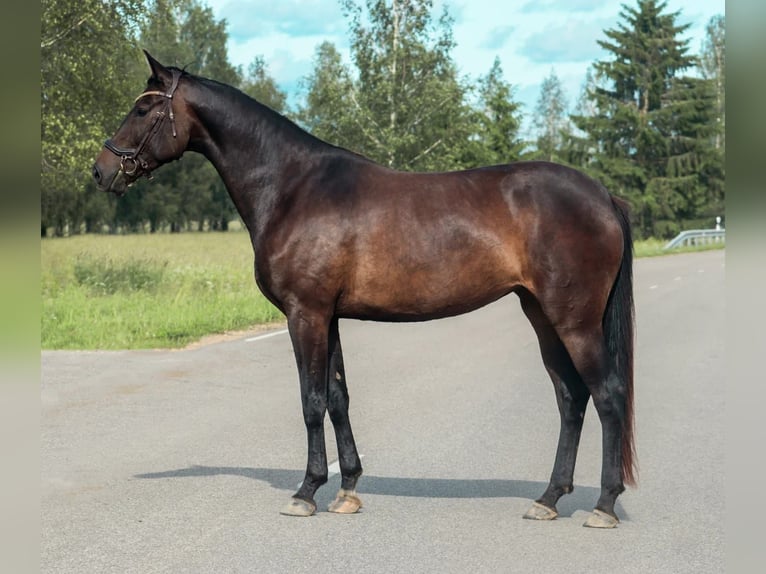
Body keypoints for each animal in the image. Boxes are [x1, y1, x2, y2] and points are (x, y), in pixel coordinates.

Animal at [93, 51, 636, 528]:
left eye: (143, 109)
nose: (101, 170)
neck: (292, 186)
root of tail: (601, 194)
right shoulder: (328, 316)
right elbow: (338, 397)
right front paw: (348, 489)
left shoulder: (305, 314)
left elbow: (311, 400)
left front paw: (306, 492)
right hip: (541, 313)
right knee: (570, 398)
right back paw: (548, 498)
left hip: (574, 320)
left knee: (607, 395)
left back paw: (604, 505)